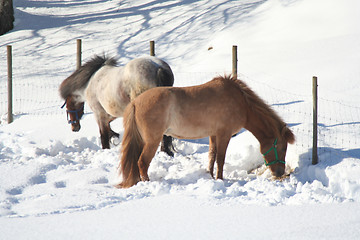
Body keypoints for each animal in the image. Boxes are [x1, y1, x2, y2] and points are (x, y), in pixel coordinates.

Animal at [116, 75, 294, 188]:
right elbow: (220, 159)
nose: (280, 173)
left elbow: (212, 156)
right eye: (282, 147)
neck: (241, 102)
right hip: (152, 141)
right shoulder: (224, 134)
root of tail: (135, 103)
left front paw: (210, 176)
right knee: (142, 162)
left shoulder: (213, 135)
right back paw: (147, 182)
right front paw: (220, 179)